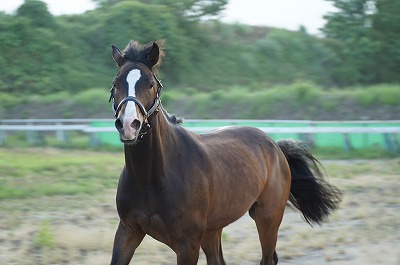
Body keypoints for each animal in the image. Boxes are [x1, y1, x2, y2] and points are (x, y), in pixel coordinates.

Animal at [108, 39, 342, 264]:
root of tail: (275, 146)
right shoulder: (128, 231)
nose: (129, 125)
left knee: (268, 258)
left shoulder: (187, 245)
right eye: (115, 84)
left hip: (267, 217)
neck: (152, 177)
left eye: (150, 84)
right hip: (213, 229)